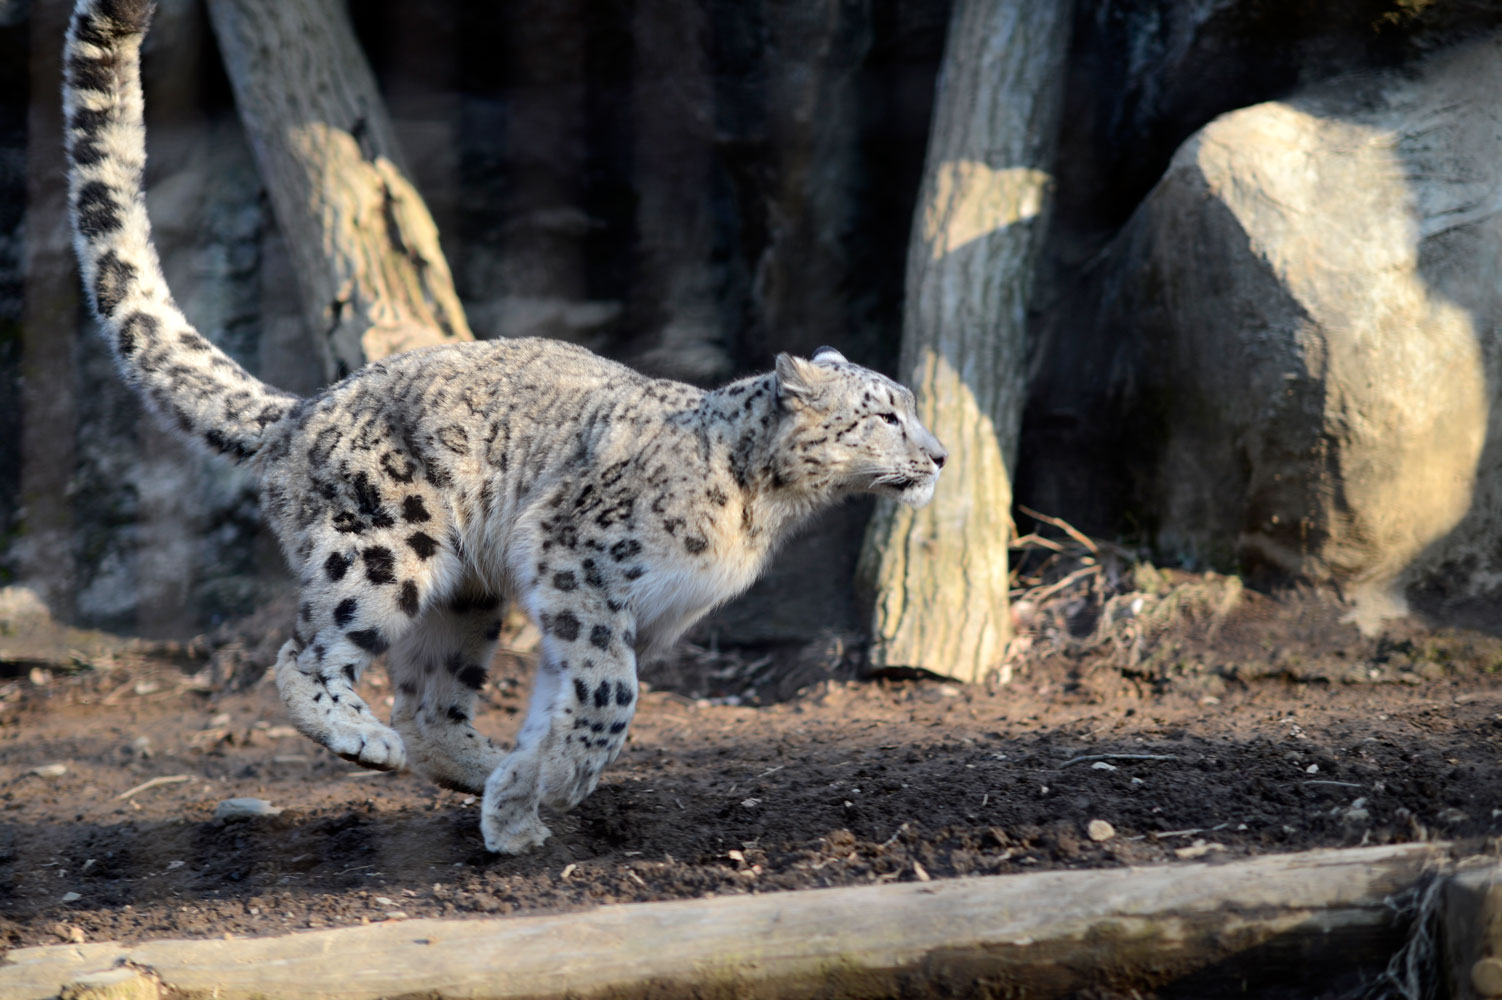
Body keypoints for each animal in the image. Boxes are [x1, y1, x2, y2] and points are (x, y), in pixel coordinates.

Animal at [67, 0, 949, 846]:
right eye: (884, 414)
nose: (940, 456)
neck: (765, 510)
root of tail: (307, 406)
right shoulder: (581, 561)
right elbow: (611, 693)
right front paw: (550, 783)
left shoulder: (600, 602)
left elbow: (566, 700)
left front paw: (525, 799)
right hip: (384, 549)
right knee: (307, 650)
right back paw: (363, 739)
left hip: (467, 595)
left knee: (428, 704)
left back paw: (481, 767)